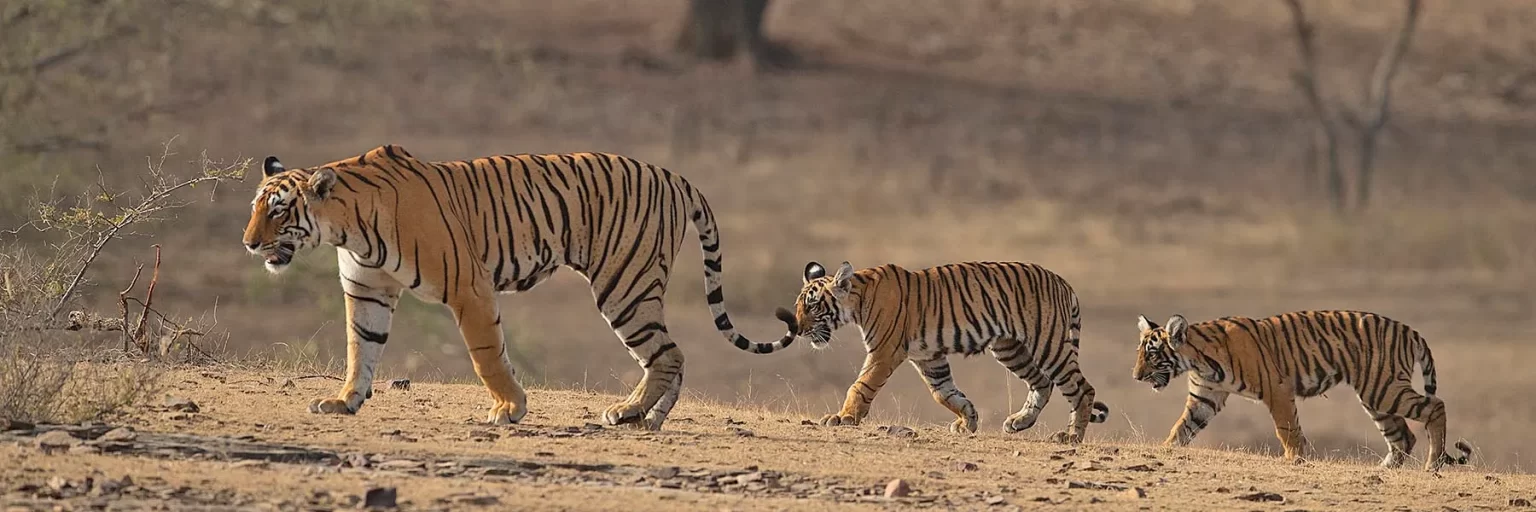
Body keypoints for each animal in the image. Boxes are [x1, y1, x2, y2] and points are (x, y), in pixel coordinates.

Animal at [241, 144, 796, 430]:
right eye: (255, 207)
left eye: (278, 211)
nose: (248, 243)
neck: (347, 226)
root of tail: (672, 173)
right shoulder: (367, 291)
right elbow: (361, 349)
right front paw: (345, 401)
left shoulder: (468, 287)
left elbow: (487, 355)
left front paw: (509, 409)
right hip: (633, 289)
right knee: (673, 356)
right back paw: (649, 418)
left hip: (624, 286)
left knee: (668, 354)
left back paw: (630, 412)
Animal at [771, 260, 1110, 443]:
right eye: (799, 305)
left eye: (813, 306)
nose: (798, 328)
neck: (858, 299)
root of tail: (1064, 282)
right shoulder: (928, 358)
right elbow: (943, 393)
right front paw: (968, 420)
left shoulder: (884, 351)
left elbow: (860, 385)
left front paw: (843, 417)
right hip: (1009, 348)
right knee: (1042, 383)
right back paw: (1019, 421)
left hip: (1047, 343)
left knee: (1081, 388)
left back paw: (1071, 437)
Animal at [1132, 311, 1473, 470]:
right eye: (1140, 352)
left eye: (1152, 354)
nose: (1135, 377)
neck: (1197, 360)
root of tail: (1410, 330)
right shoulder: (1205, 396)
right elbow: (1182, 427)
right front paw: (1166, 448)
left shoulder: (1277, 390)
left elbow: (1287, 428)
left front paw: (1294, 458)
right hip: (1376, 396)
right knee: (1403, 435)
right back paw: (1385, 469)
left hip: (1384, 389)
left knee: (1435, 407)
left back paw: (1433, 464)